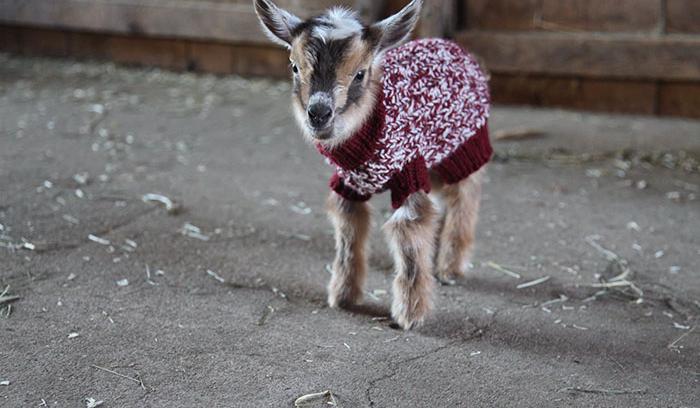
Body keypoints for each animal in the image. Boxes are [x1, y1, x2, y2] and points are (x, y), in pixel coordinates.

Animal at [253, 0, 492, 330]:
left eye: (359, 74)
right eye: (294, 67)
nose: (319, 114)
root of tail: (457, 47)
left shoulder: (409, 171)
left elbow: (410, 231)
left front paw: (409, 315)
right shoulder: (350, 183)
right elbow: (348, 231)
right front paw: (343, 296)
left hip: (464, 144)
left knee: (464, 196)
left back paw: (450, 268)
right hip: (434, 155)